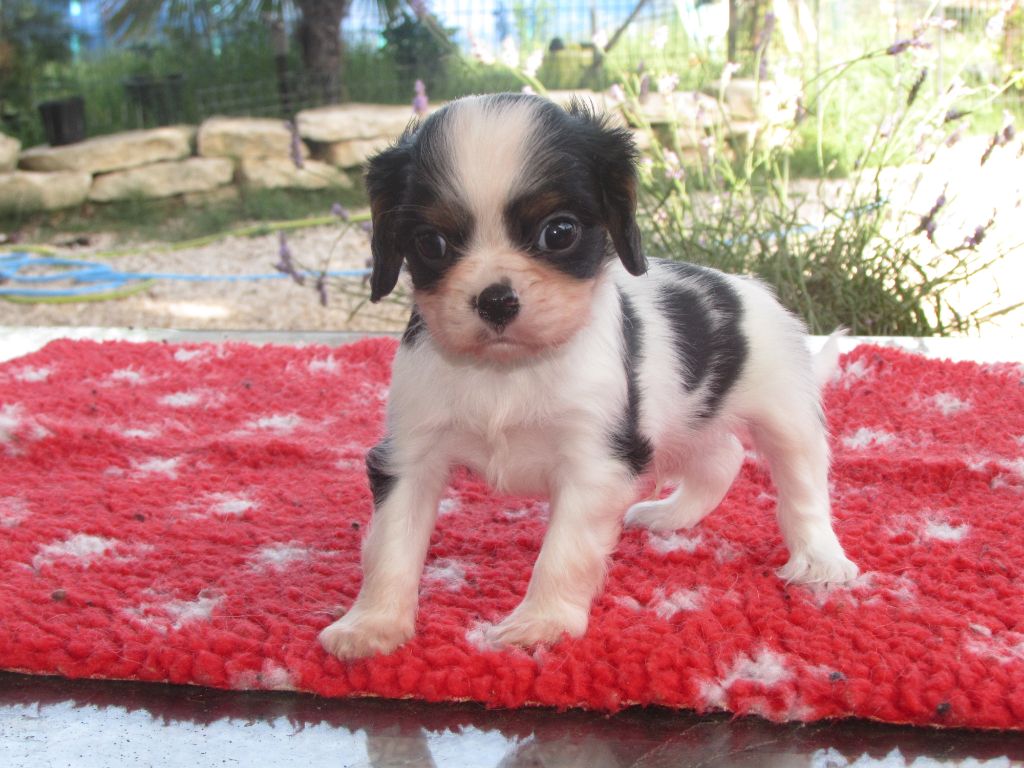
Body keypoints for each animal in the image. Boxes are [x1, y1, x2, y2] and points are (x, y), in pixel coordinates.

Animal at [318, 93, 858, 660]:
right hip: (682, 424)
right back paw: (670, 516)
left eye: (559, 232)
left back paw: (820, 559)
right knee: (723, 457)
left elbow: (564, 550)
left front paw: (541, 623)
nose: (496, 299)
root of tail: (746, 288)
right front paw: (372, 624)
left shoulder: (595, 462)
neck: (506, 370)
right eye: (431, 243)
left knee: (801, 485)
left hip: (785, 415)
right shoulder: (411, 452)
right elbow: (392, 544)